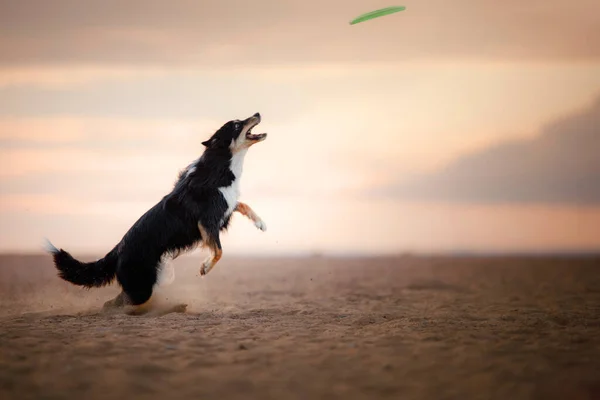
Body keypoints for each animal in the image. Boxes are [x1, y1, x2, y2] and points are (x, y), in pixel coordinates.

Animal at [46, 111, 270, 312]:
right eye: (237, 125)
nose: (257, 113)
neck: (220, 165)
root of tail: (117, 250)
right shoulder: (207, 222)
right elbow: (219, 250)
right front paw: (205, 267)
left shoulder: (226, 207)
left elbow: (242, 204)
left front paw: (261, 223)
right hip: (142, 284)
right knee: (118, 303)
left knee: (116, 301)